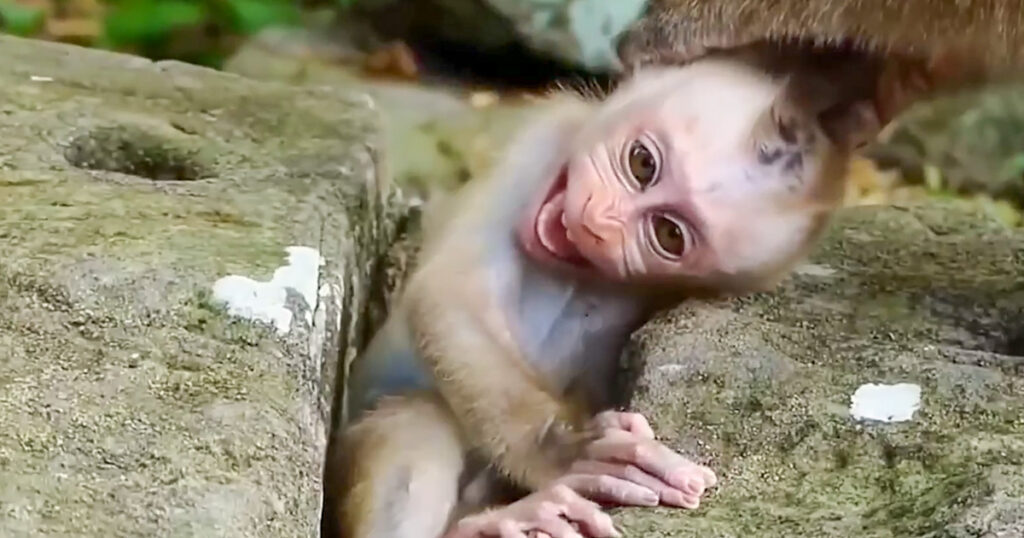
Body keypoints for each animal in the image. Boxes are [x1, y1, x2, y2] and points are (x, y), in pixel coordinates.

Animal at [323, 51, 888, 538]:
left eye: (668, 234)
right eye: (642, 164)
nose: (597, 225)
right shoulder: (541, 143)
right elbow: (448, 296)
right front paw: (567, 452)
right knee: (419, 414)